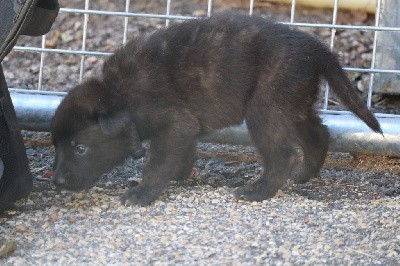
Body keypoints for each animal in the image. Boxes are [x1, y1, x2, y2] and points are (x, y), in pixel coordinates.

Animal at [50, 10, 382, 206]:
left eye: (80, 148)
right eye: (57, 147)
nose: (57, 182)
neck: (121, 93)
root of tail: (315, 48)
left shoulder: (174, 125)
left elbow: (157, 162)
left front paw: (143, 193)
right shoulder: (184, 129)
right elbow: (181, 155)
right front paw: (179, 175)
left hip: (266, 107)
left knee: (283, 154)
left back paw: (258, 191)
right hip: (292, 103)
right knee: (318, 133)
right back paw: (305, 174)